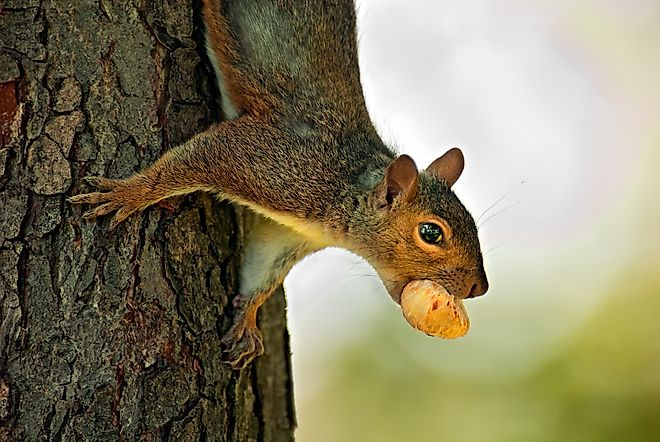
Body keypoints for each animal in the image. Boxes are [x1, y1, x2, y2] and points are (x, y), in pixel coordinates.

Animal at [69, 0, 489, 369]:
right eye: (431, 233)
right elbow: (193, 160)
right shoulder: (269, 163)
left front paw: (248, 321)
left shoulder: (287, 235)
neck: (343, 189)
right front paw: (128, 193)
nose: (479, 288)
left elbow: (262, 271)